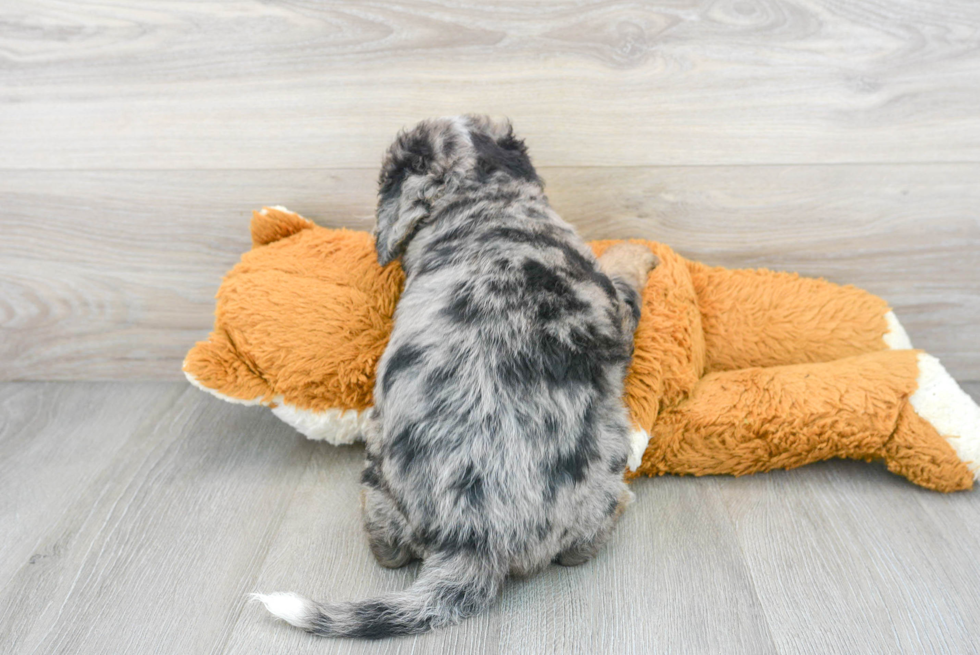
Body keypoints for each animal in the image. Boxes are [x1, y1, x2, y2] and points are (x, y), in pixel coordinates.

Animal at [256, 115, 664, 640]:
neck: (483, 202)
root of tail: (473, 541)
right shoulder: (616, 304)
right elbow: (626, 275)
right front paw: (639, 250)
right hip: (603, 455)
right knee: (581, 544)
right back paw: (620, 507)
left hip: (381, 462)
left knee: (387, 547)